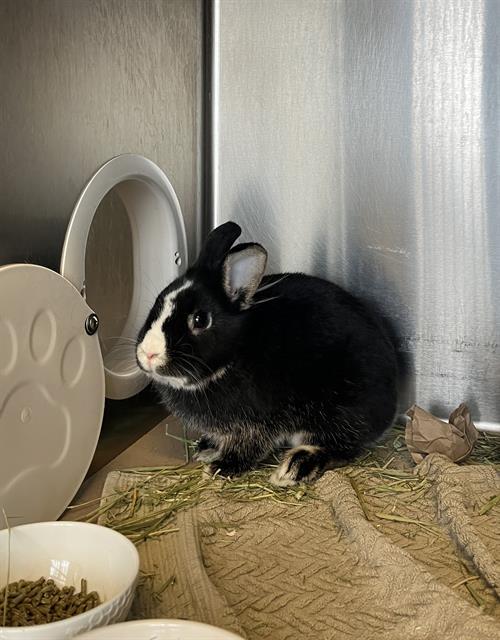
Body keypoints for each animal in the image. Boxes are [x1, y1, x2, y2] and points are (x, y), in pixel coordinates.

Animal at [136, 221, 398, 486]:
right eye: (156, 303)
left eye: (200, 320)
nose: (148, 353)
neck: (232, 357)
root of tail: (390, 409)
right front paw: (208, 447)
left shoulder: (256, 422)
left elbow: (251, 446)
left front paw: (222, 467)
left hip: (338, 411)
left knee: (340, 447)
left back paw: (295, 467)